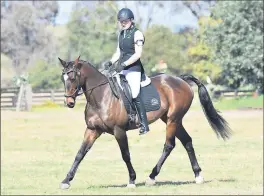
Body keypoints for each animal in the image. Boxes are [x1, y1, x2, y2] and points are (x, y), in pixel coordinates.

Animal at [57, 55, 231, 190]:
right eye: (63, 78)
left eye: (72, 77)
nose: (69, 102)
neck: (101, 96)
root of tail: (180, 80)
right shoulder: (92, 130)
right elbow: (80, 154)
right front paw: (66, 180)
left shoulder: (119, 131)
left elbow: (125, 155)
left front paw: (132, 180)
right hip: (172, 119)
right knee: (187, 141)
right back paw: (198, 175)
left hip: (173, 120)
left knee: (169, 145)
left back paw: (152, 177)